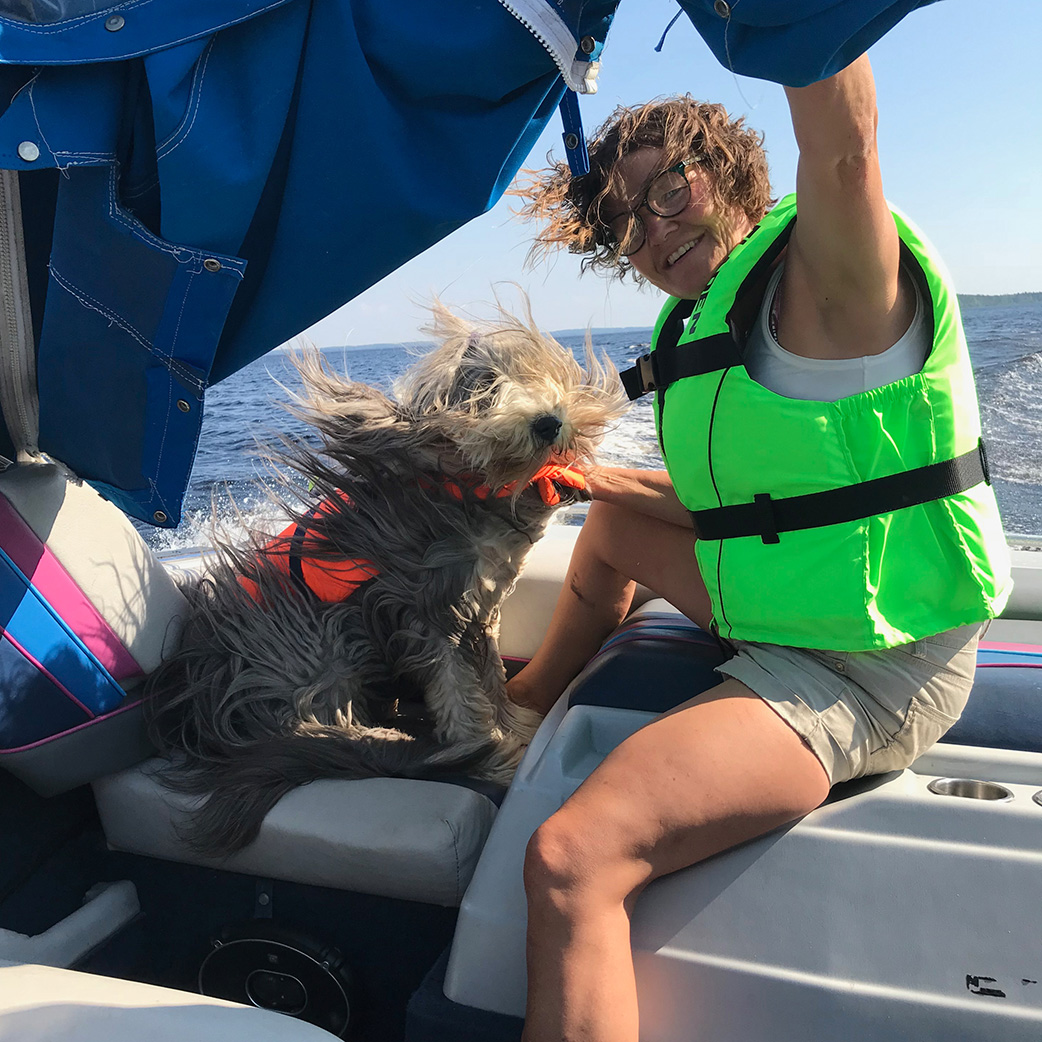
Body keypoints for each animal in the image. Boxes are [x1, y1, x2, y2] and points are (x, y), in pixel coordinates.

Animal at [143, 299, 628, 855]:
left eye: (542, 374)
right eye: (484, 389)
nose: (548, 422)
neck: (462, 487)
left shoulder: (480, 606)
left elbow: (490, 676)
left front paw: (509, 723)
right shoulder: (425, 610)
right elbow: (457, 689)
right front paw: (486, 747)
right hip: (312, 646)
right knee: (315, 724)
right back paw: (405, 746)